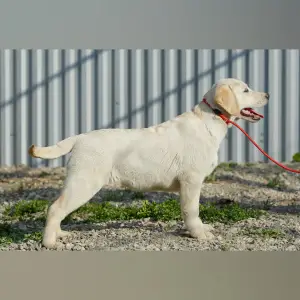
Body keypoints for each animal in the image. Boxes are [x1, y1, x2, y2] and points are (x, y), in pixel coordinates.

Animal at [28, 78, 270, 248]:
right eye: (246, 90)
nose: (268, 94)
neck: (210, 119)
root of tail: (79, 138)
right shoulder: (191, 180)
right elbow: (192, 210)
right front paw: (199, 233)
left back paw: (59, 233)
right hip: (84, 182)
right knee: (55, 208)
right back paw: (49, 242)